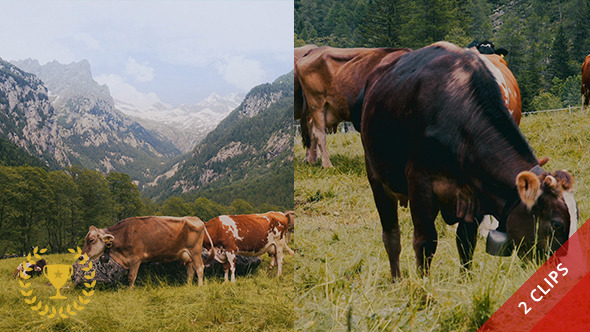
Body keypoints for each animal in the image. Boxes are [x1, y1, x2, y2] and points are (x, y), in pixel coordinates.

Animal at [360, 41, 580, 280]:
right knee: (391, 236)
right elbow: (425, 241)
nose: (562, 270)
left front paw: (465, 280)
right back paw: (397, 280)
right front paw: (422, 284)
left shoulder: (474, 194)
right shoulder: (420, 183)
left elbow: (466, 242)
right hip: (377, 179)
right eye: (557, 224)